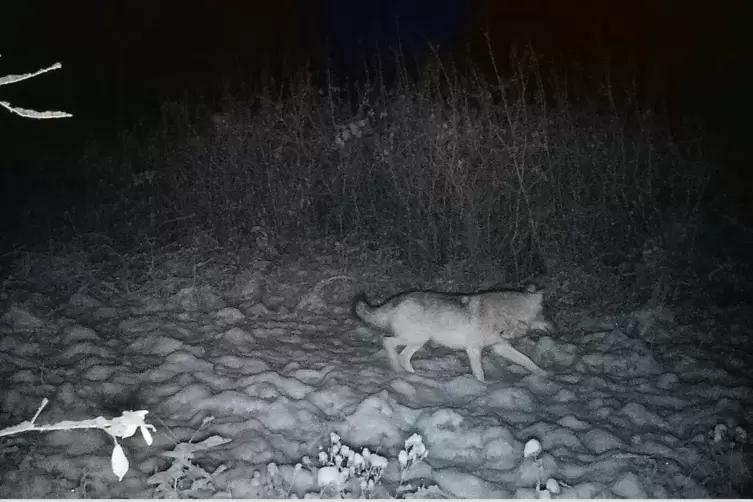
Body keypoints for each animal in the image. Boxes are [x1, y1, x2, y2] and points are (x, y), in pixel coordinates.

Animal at [352, 286, 554, 382]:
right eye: (545, 313)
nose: (555, 326)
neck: (504, 314)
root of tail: (397, 299)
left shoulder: (500, 347)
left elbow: (527, 361)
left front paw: (544, 374)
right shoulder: (473, 350)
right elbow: (479, 372)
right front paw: (482, 386)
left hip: (417, 342)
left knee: (403, 356)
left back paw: (412, 376)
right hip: (416, 339)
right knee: (387, 342)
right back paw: (396, 368)